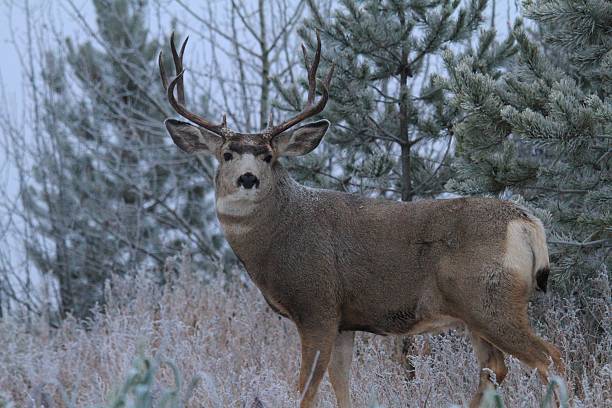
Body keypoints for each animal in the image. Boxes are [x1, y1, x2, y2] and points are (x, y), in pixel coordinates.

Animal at [158, 32, 564, 408]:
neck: (277, 239)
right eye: (227, 154)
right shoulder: (344, 320)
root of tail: (528, 222)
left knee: (550, 358)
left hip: (491, 300)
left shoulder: (317, 304)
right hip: (476, 312)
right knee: (495, 368)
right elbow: (341, 386)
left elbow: (306, 389)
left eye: (269, 156)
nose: (247, 178)